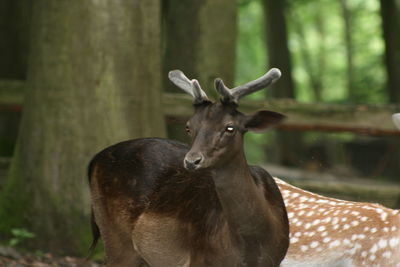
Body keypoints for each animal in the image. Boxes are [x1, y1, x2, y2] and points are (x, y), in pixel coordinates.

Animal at [89, 69, 290, 267]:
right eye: (188, 127)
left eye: (230, 128)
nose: (192, 161)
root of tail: (93, 161)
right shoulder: (199, 259)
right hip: (115, 237)